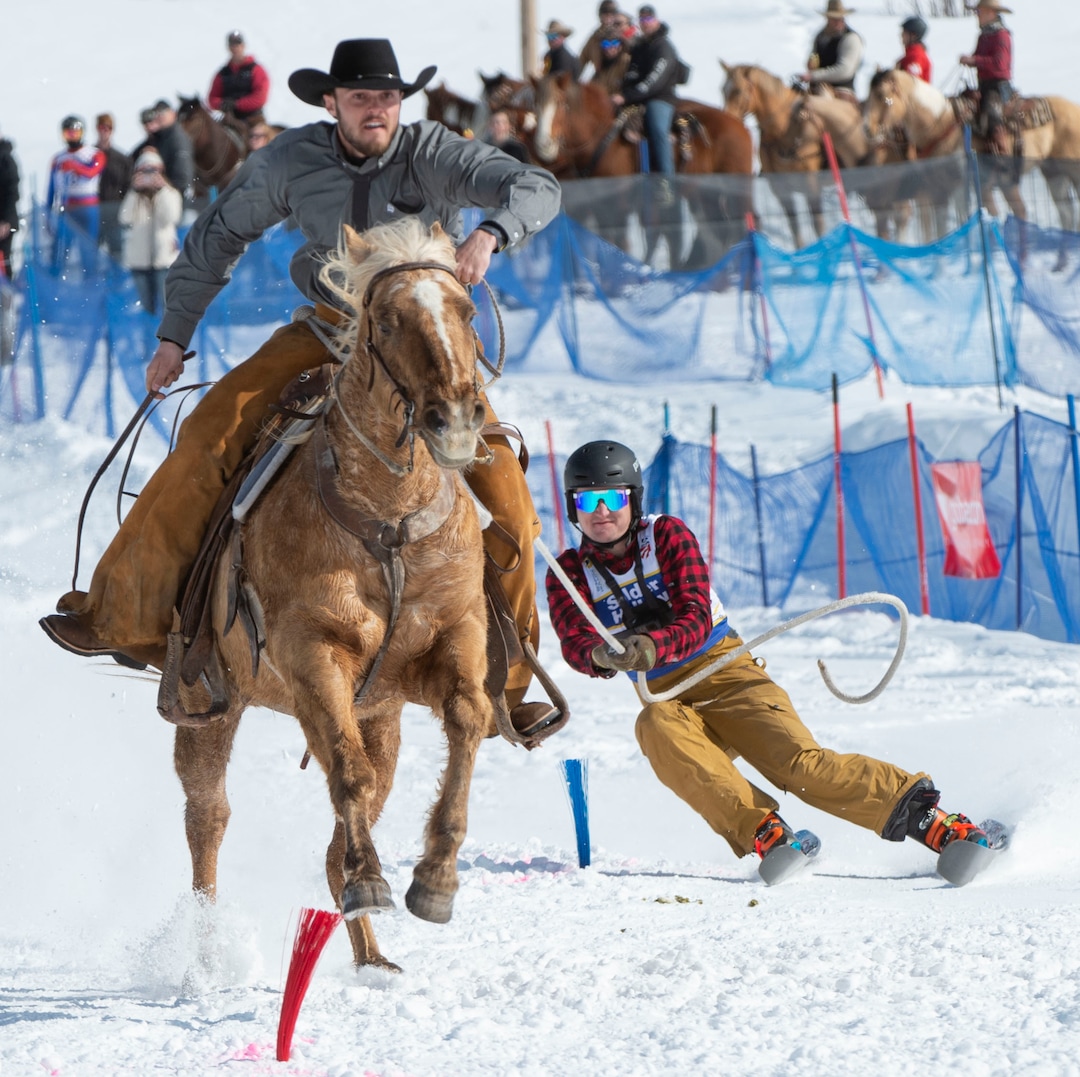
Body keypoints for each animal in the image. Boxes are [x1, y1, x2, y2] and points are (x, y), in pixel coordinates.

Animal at [172, 217, 495, 971]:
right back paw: (208, 947)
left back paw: (370, 953)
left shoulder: (455, 636)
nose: (455, 419)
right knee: (208, 816)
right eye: (387, 320)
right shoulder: (314, 655)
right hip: (208, 705)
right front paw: (373, 880)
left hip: (380, 715)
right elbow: (348, 773)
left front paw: (435, 881)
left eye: (466, 310)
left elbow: (469, 718)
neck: (389, 524)